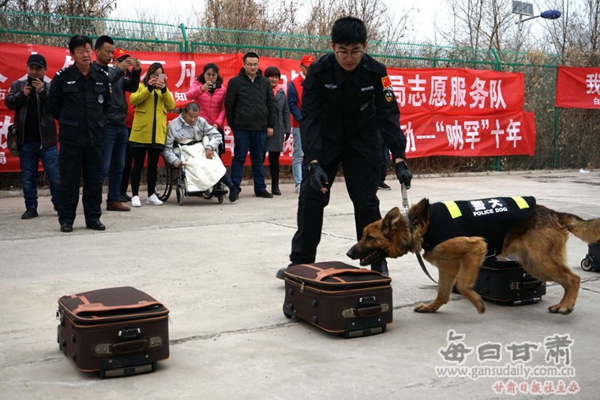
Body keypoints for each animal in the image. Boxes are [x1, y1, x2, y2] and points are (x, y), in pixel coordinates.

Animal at [346, 198, 600, 316]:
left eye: (368, 237)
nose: (348, 253)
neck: (415, 225)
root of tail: (554, 213)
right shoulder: (447, 267)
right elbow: (443, 293)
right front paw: (431, 308)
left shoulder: (476, 248)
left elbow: (463, 286)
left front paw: (477, 302)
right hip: (533, 263)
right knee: (567, 279)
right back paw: (563, 303)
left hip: (539, 261)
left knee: (573, 279)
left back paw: (566, 306)